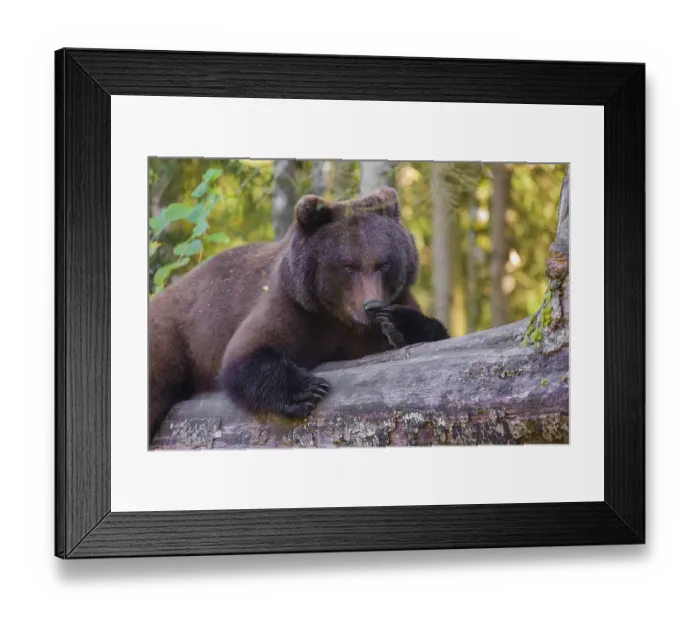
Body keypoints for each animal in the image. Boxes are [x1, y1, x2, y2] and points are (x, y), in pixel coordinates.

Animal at [148, 186, 450, 443]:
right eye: (348, 266)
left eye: (383, 263)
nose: (371, 305)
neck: (342, 318)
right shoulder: (295, 307)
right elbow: (245, 355)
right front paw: (308, 390)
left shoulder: (388, 306)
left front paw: (398, 324)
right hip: (172, 336)